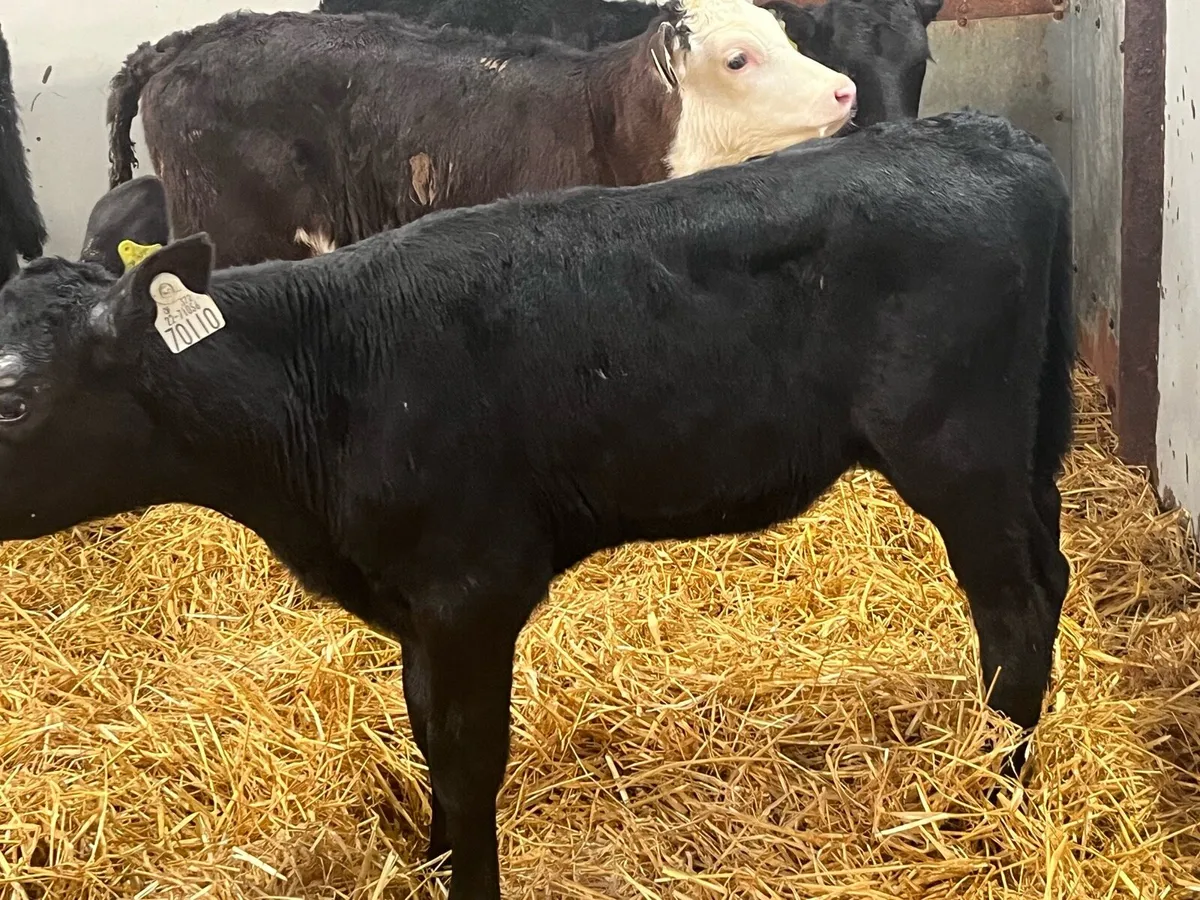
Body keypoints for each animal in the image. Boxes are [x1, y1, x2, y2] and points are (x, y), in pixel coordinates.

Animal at [0, 110, 1073, 900]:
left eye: (12, 399)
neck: (329, 376)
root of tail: (990, 138)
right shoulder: (422, 608)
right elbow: (425, 731)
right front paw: (432, 862)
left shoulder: (473, 588)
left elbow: (469, 757)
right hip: (1024, 452)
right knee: (1048, 580)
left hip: (957, 449)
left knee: (1009, 612)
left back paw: (984, 804)